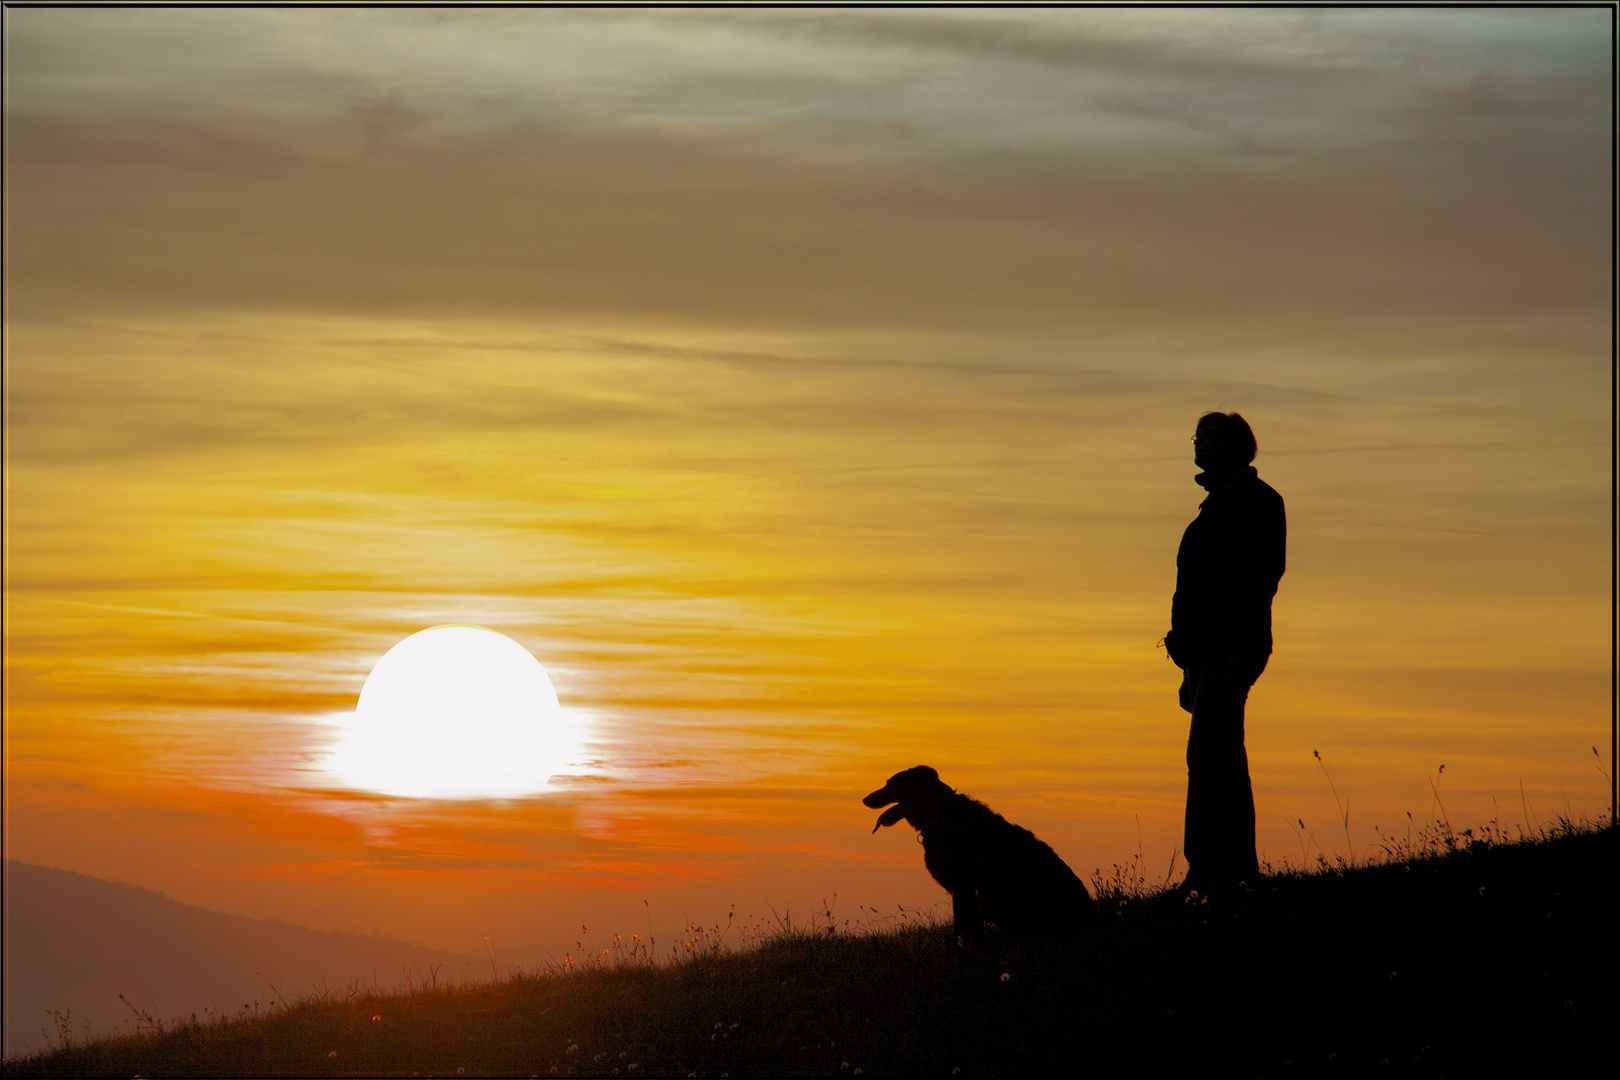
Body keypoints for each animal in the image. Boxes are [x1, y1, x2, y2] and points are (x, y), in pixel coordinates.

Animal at [868, 767, 1095, 939]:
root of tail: (1089, 916)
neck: (941, 813)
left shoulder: (963, 885)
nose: (864, 799)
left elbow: (962, 927)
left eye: (890, 784)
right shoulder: (965, 890)